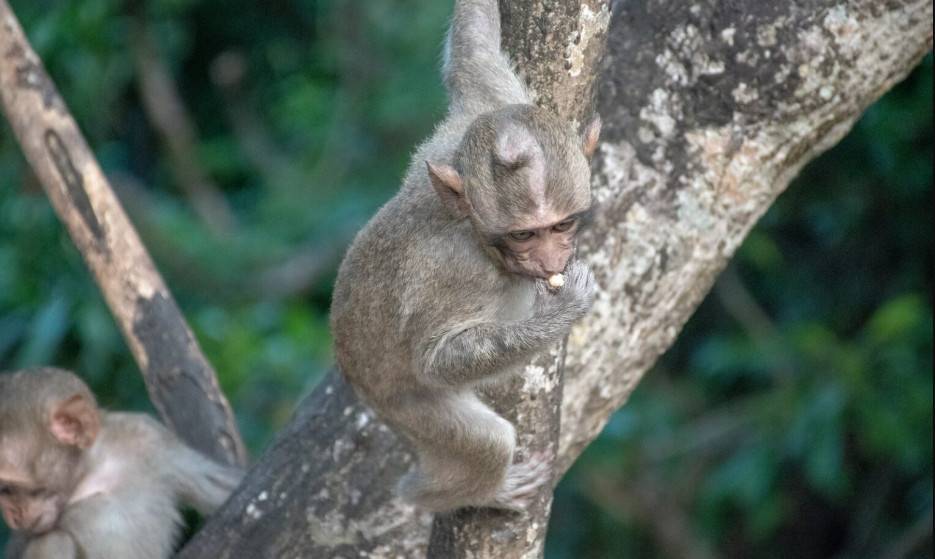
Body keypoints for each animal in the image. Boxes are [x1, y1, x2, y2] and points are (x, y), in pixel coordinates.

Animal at [0, 368, 241, 559]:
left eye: (7, 488)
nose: (12, 515)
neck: (94, 470)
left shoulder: (150, 438)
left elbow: (221, 489)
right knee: (53, 541)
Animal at [332, 0, 604, 516]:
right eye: (524, 235)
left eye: (561, 226)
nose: (549, 261)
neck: (478, 237)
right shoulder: (458, 274)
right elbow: (435, 357)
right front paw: (560, 313)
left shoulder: (484, 111)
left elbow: (471, 59)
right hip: (406, 406)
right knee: (486, 440)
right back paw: (455, 493)